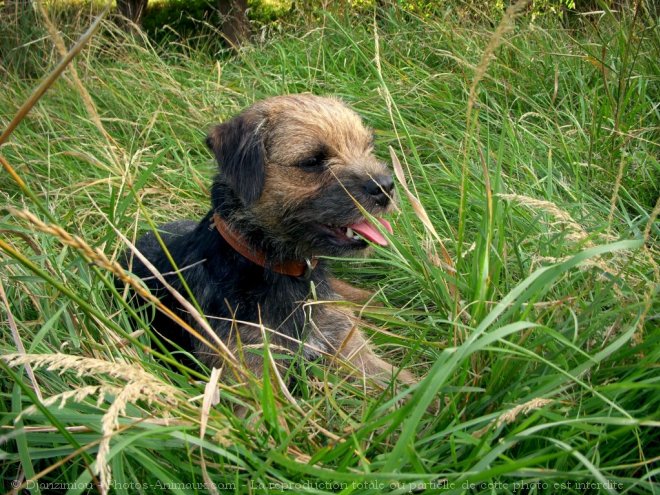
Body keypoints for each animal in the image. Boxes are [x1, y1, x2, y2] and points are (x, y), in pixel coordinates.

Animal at [122, 95, 412, 386]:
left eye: (367, 147)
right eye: (312, 161)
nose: (386, 186)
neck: (269, 264)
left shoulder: (348, 345)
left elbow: (402, 383)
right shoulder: (252, 371)